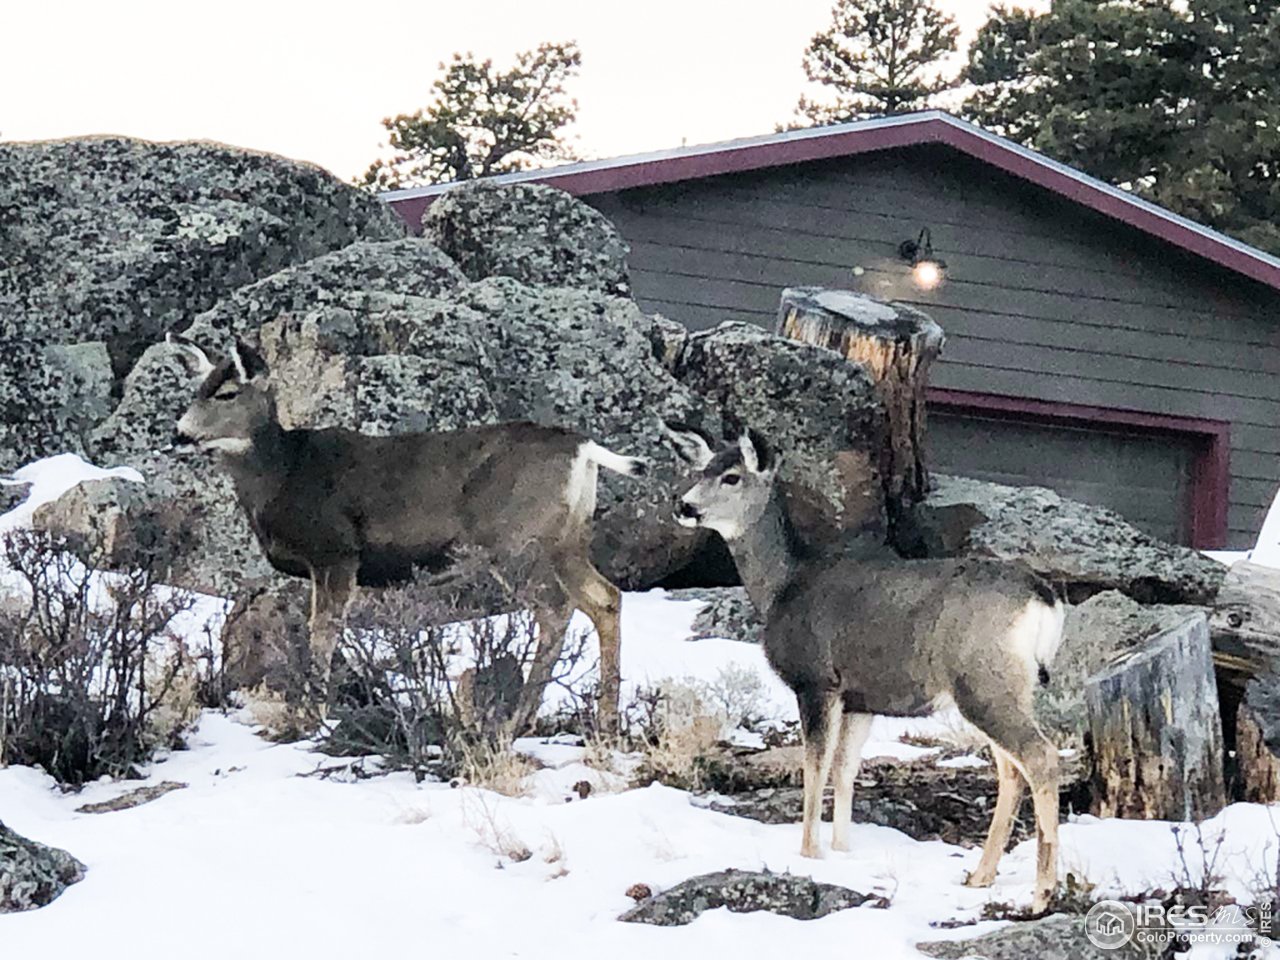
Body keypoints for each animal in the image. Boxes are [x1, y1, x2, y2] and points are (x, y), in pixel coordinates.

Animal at [166, 333, 646, 734]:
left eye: (227, 393)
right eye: (195, 389)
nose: (179, 434)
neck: (282, 473)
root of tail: (585, 450)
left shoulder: (335, 552)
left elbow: (324, 631)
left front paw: (312, 716)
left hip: (515, 541)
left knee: (555, 609)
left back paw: (517, 720)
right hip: (565, 543)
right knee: (604, 599)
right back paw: (605, 719)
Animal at [663, 422, 1065, 913]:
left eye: (732, 477)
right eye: (700, 470)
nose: (684, 506)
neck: (783, 586)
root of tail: (1042, 597)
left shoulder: (816, 681)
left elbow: (815, 766)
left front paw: (809, 853)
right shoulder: (860, 700)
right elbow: (845, 768)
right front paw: (841, 850)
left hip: (983, 680)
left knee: (1039, 757)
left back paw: (1042, 893)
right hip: (1001, 685)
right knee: (1012, 770)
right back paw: (980, 876)